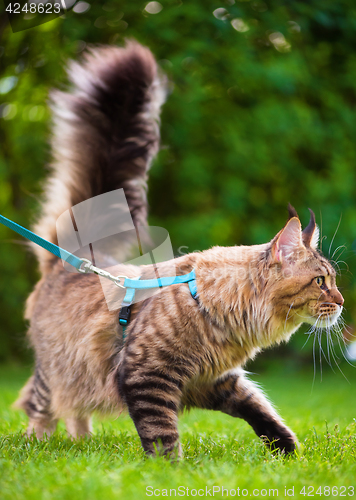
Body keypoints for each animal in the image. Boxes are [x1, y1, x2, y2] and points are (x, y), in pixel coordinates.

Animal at [14, 41, 344, 458]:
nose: (343, 302)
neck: (217, 310)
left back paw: (82, 441)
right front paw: (170, 465)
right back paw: (38, 442)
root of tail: (76, 259)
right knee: (42, 404)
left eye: (333, 280)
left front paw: (287, 450)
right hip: (58, 368)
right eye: (320, 282)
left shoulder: (217, 380)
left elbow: (260, 409)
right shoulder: (147, 373)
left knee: (75, 410)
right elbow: (161, 430)